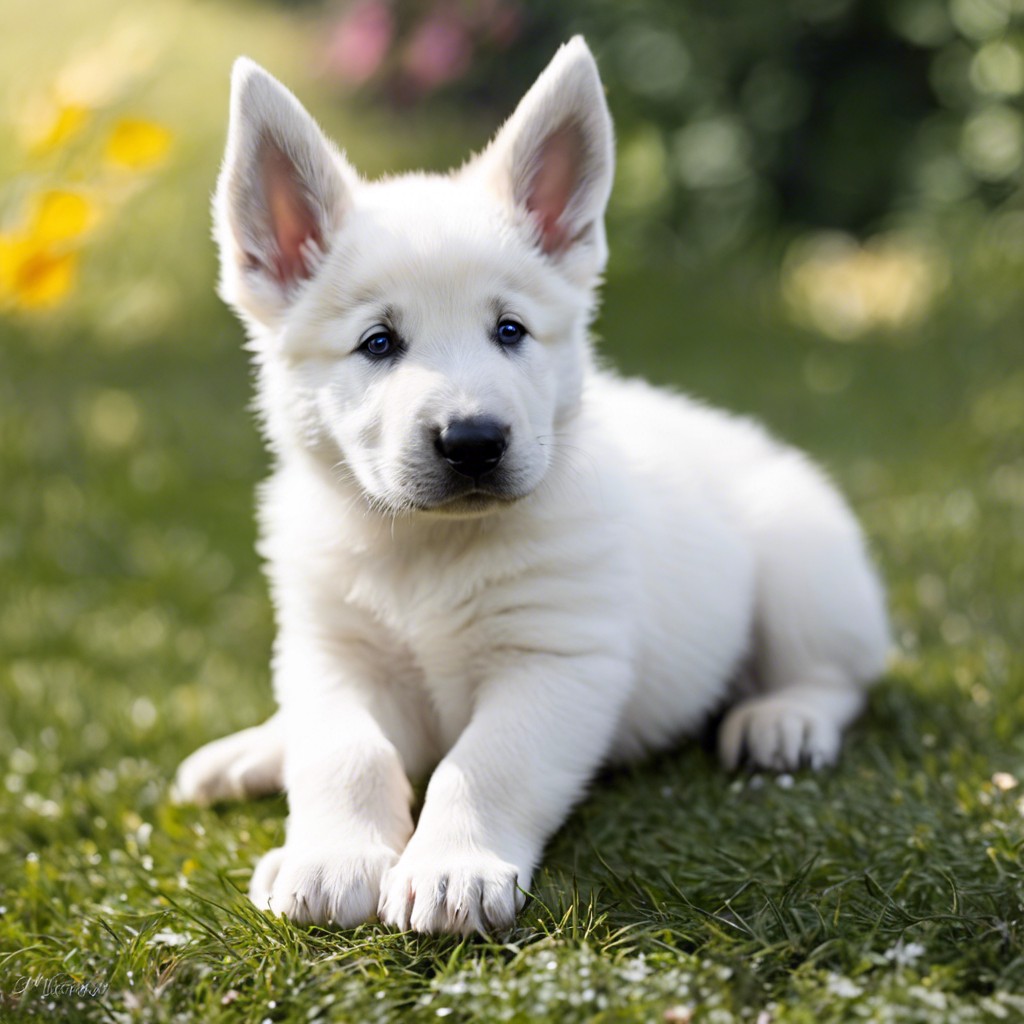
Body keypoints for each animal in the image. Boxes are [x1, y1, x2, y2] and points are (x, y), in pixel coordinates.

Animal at [174, 37, 888, 937]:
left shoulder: (556, 659)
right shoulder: (331, 654)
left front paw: (451, 868)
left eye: (509, 331)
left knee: (835, 676)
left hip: (803, 565)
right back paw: (252, 751)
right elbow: (345, 752)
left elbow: (484, 764)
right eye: (378, 342)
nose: (474, 442)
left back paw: (782, 719)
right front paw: (333, 857)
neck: (429, 550)